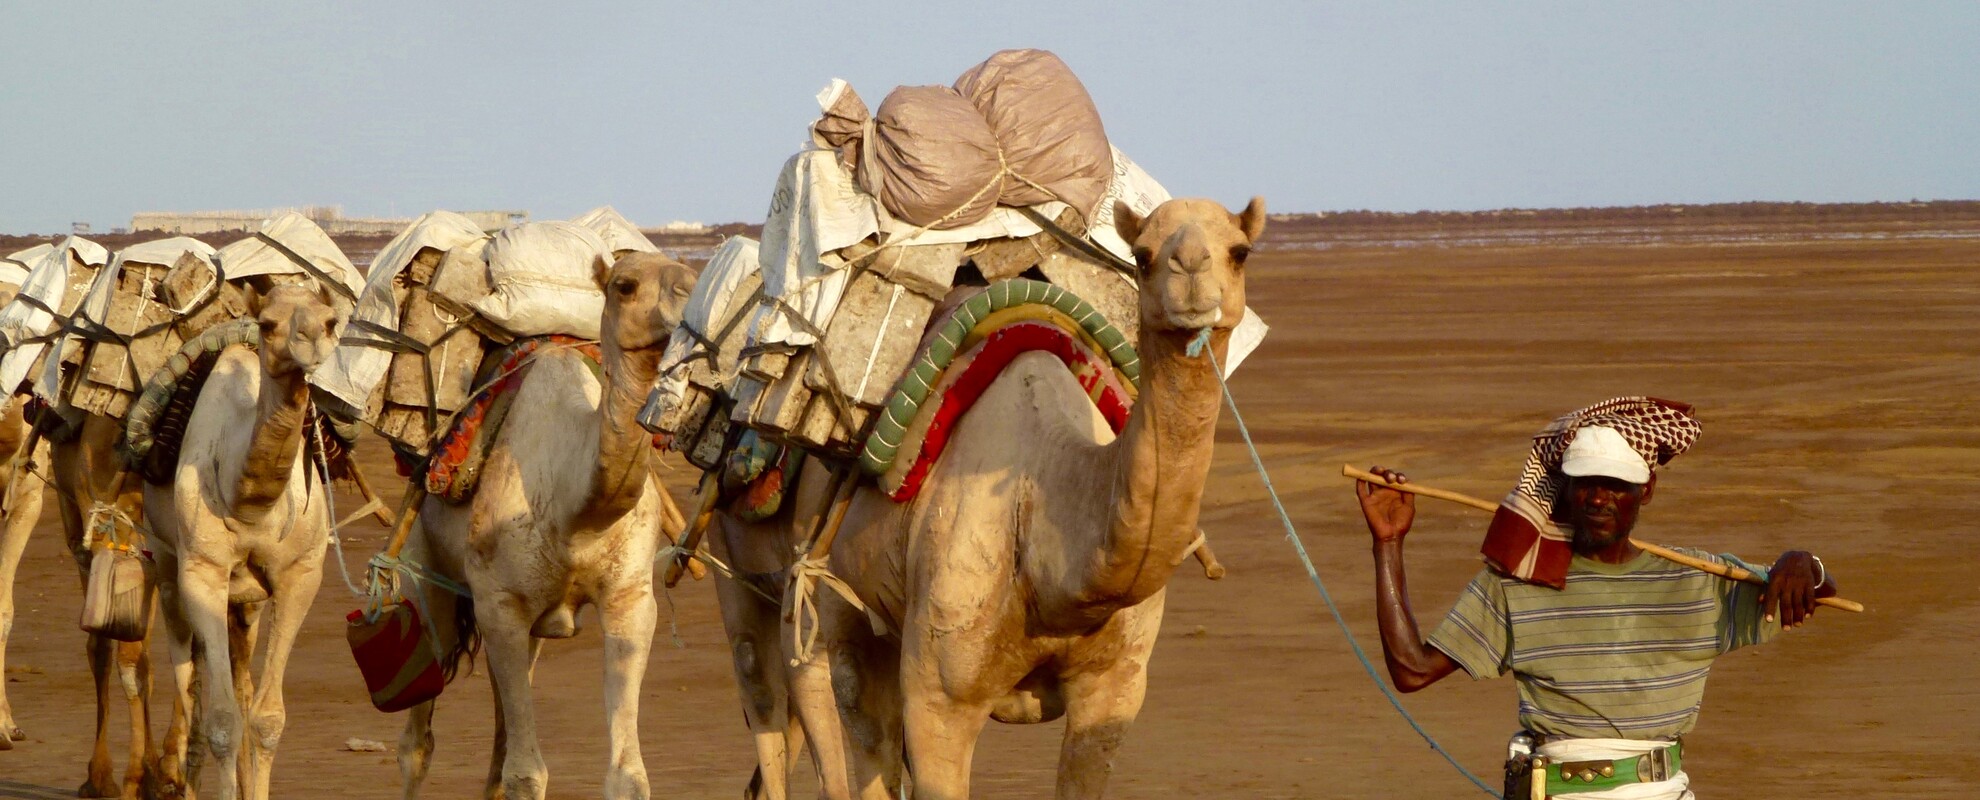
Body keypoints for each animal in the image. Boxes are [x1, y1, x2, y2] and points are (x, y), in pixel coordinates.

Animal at [143, 285, 346, 796]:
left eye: (331, 319)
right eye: (269, 323)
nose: (313, 341)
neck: (250, 502)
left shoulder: (301, 575)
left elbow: (266, 717)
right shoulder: (203, 572)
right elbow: (221, 721)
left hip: (247, 601)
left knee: (240, 682)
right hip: (166, 564)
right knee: (188, 681)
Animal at [394, 249, 696, 800]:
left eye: (695, 277)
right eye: (624, 285)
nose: (686, 313)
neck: (576, 512)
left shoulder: (630, 601)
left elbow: (627, 775)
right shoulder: (500, 602)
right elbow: (526, 774)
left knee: (498, 732)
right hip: (427, 575)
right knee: (417, 743)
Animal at [792, 195, 1267, 800]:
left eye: (1240, 250)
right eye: (1141, 255)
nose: (1189, 272)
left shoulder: (1114, 689)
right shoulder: (940, 699)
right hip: (831, 586)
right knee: (849, 711)